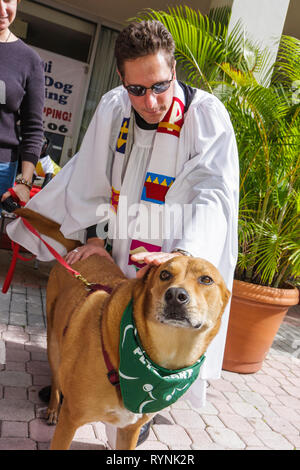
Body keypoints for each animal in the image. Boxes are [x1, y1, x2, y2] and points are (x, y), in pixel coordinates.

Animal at [45, 252, 230, 450]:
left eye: (206, 279)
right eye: (164, 274)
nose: (175, 295)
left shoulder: (130, 430)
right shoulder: (69, 420)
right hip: (53, 344)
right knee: (56, 376)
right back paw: (52, 408)